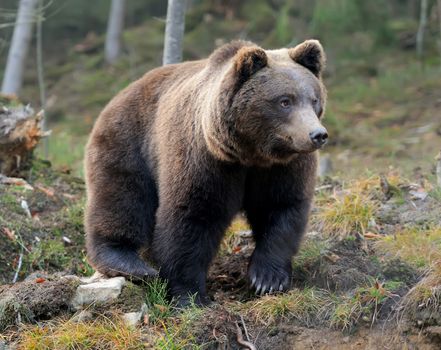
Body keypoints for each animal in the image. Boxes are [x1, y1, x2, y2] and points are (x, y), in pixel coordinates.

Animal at [85, 39, 326, 306]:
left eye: (314, 99)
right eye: (285, 100)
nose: (317, 134)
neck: (249, 153)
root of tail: (122, 93)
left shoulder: (283, 167)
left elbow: (281, 209)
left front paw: (267, 279)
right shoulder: (205, 161)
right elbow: (191, 217)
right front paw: (189, 294)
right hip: (129, 142)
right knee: (122, 199)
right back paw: (130, 263)